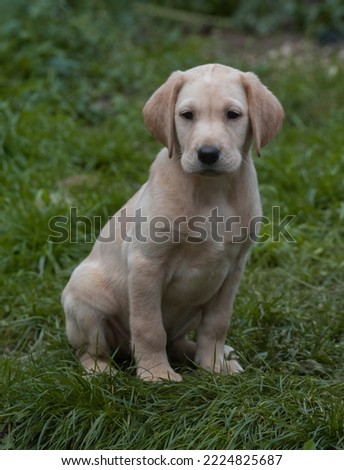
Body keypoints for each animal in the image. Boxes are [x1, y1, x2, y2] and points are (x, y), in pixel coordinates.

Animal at [61, 64, 282, 382]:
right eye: (187, 115)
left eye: (233, 114)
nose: (208, 154)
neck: (211, 191)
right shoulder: (147, 264)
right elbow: (149, 327)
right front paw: (157, 374)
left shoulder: (233, 268)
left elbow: (217, 324)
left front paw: (214, 365)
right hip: (85, 299)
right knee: (91, 351)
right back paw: (102, 371)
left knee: (177, 341)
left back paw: (209, 354)